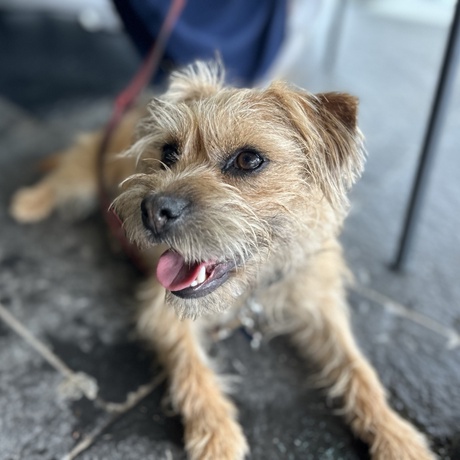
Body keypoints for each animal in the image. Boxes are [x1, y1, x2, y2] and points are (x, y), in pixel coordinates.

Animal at [10, 62, 434, 460]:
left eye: (248, 160)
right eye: (168, 153)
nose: (151, 211)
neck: (255, 288)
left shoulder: (321, 306)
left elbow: (359, 370)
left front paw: (396, 435)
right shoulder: (161, 310)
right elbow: (192, 369)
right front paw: (216, 434)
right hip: (82, 176)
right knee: (61, 179)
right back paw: (28, 203)